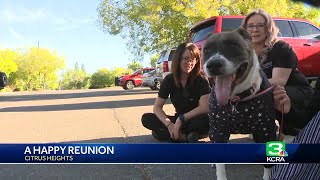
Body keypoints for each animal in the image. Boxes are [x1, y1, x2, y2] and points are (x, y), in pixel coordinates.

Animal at [202, 27, 278, 180]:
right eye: (206, 50)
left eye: (233, 45)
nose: (214, 64)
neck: (236, 99)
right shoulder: (218, 131)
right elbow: (220, 167)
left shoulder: (266, 130)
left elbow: (267, 164)